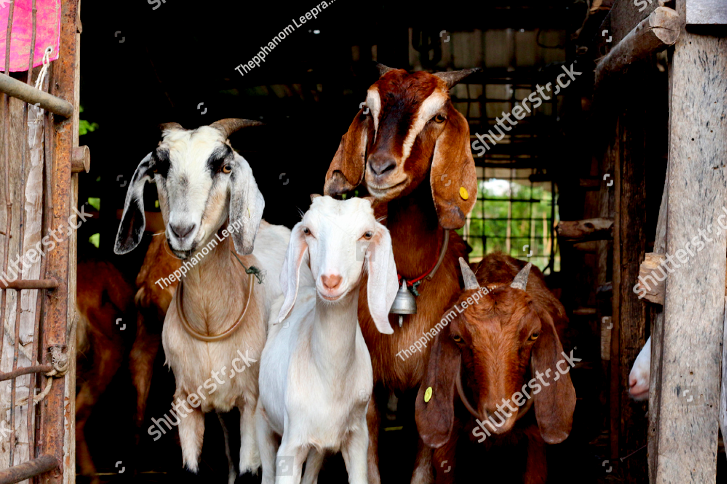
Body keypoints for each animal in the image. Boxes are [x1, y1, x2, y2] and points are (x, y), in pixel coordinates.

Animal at [114, 119, 289, 478]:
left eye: (224, 167)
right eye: (160, 167)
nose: (182, 231)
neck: (210, 323)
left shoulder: (251, 401)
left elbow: (250, 470)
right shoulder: (185, 402)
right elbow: (194, 468)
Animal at [257, 195, 399, 484]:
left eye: (367, 234)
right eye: (308, 231)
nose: (330, 281)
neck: (330, 380)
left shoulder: (357, 437)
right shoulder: (290, 444)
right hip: (262, 418)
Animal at [324, 65, 478, 483]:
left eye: (438, 116)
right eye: (367, 109)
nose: (379, 168)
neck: (407, 277)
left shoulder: (431, 379)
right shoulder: (370, 380)